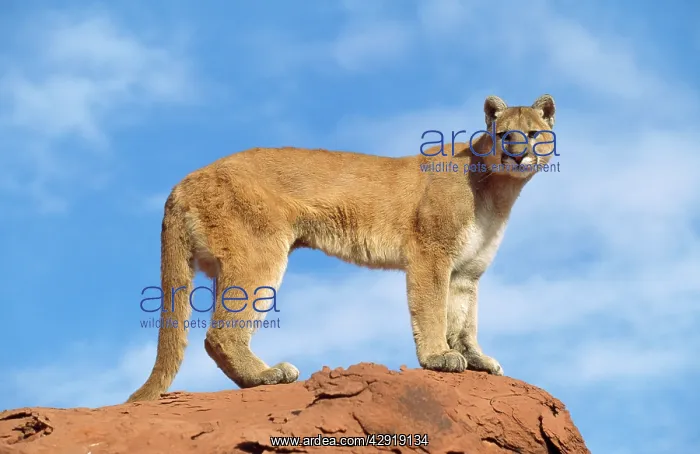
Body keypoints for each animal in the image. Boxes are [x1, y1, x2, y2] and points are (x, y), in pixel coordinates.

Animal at [126, 94, 557, 402]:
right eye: (503, 134)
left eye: (534, 134)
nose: (518, 153)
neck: (498, 190)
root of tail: (183, 181)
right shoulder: (430, 254)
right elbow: (433, 310)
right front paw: (438, 357)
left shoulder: (467, 270)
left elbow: (464, 320)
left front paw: (476, 359)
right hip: (258, 256)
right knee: (219, 334)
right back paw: (268, 375)